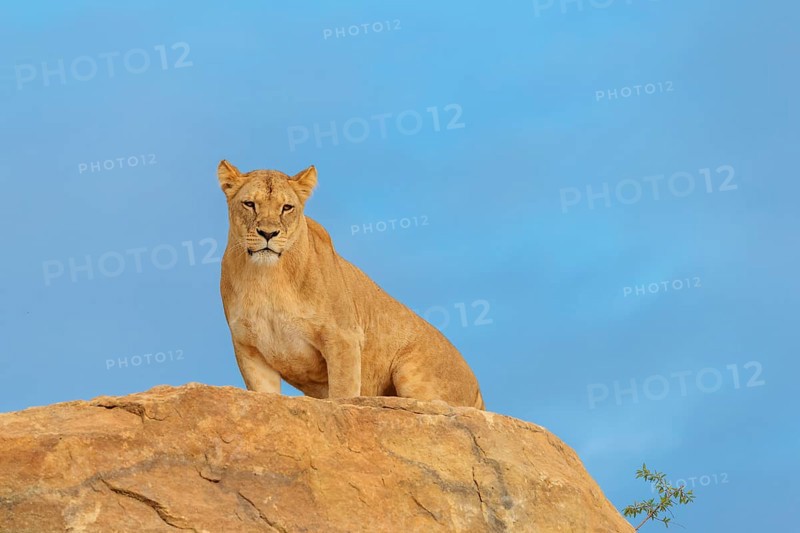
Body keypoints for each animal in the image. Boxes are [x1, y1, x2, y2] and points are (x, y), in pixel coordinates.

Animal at [217, 160, 485, 409]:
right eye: (249, 204)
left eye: (287, 208)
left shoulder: (343, 337)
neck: (266, 278)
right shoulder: (250, 349)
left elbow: (342, 393)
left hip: (408, 371)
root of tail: (479, 391)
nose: (268, 233)